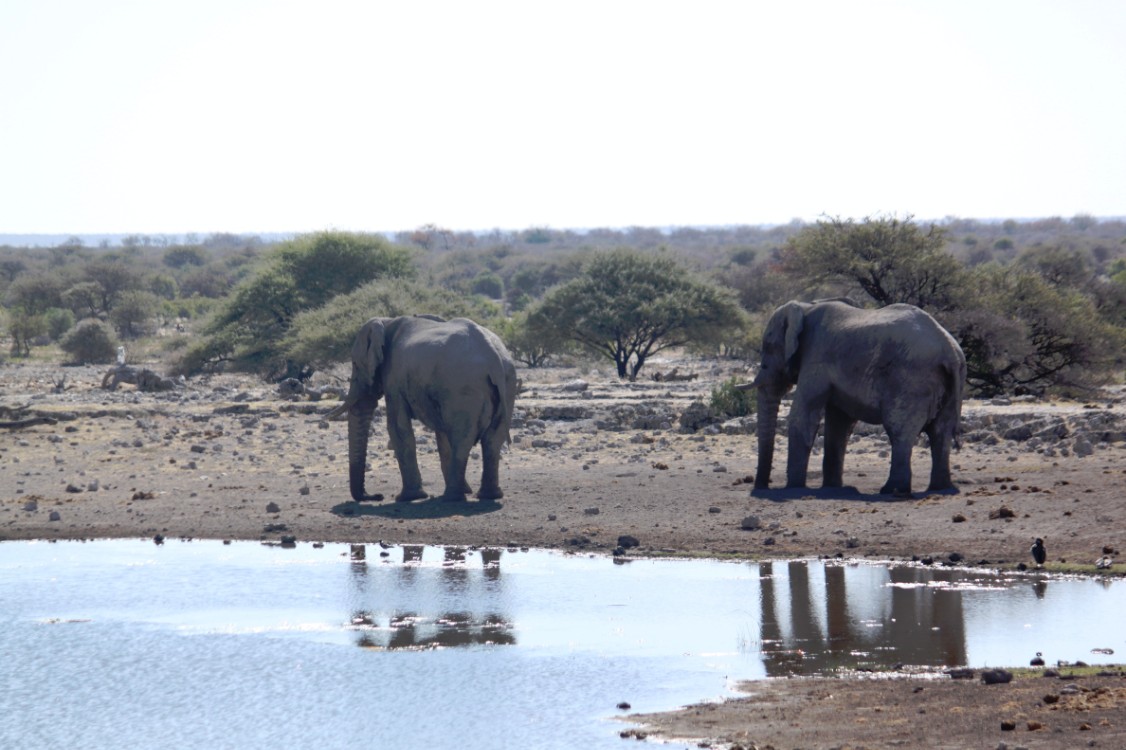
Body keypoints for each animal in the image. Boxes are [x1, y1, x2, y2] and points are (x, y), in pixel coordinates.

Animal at [328, 313, 515, 500]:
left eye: (354, 364)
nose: (377, 496)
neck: (386, 321)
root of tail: (493, 357)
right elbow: (441, 434)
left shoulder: (394, 377)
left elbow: (397, 427)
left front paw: (408, 498)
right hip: (506, 384)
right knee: (492, 439)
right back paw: (488, 495)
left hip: (464, 387)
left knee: (462, 439)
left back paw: (451, 497)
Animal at [738, 297, 968, 495]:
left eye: (767, 350)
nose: (761, 486)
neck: (806, 307)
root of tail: (950, 350)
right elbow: (839, 425)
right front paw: (831, 487)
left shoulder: (816, 359)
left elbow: (802, 417)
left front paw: (794, 487)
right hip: (947, 380)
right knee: (940, 433)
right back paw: (939, 487)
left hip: (911, 380)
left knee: (900, 430)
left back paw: (892, 490)